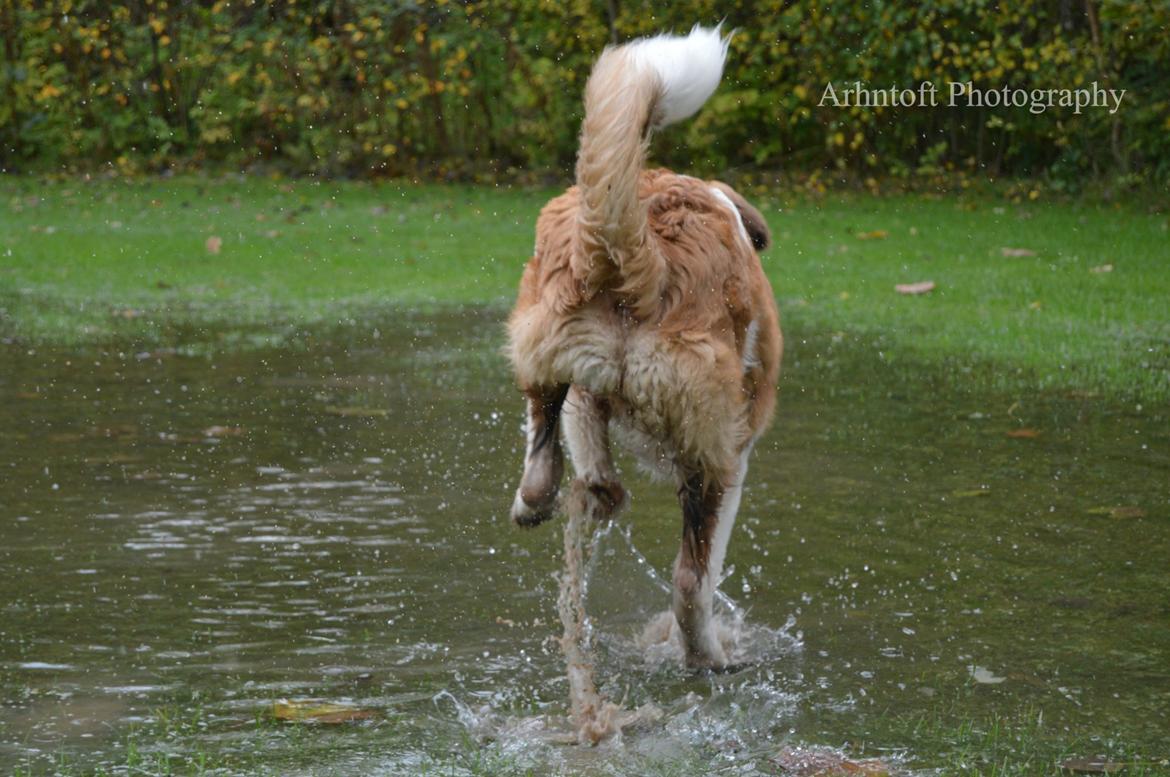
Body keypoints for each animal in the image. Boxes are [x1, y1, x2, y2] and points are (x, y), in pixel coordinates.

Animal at [507, 24, 781, 669]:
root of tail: (650, 253)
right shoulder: (735, 451)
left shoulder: (589, 398)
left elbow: (595, 466)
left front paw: (596, 494)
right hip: (716, 456)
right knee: (689, 581)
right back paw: (709, 657)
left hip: (551, 345)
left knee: (543, 456)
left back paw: (541, 503)